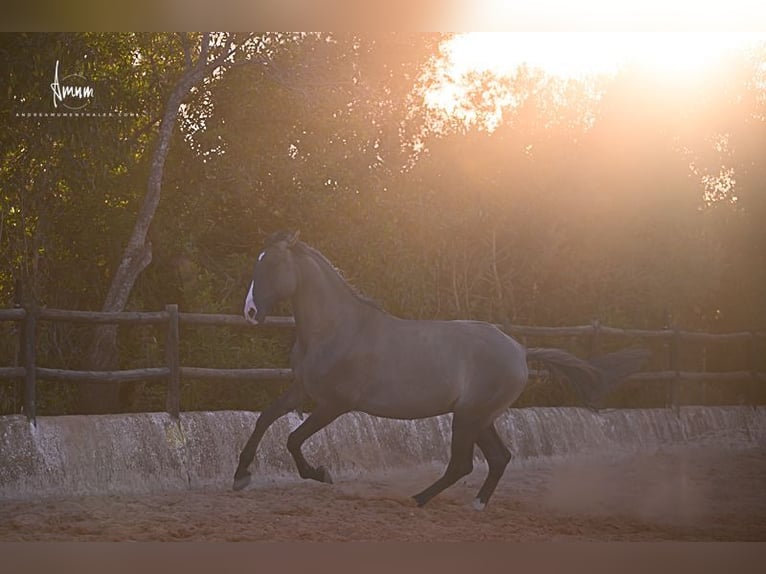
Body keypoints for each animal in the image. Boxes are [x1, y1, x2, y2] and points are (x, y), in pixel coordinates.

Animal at [233, 231, 649, 509]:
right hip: (480, 417)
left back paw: (417, 499)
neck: (336, 329)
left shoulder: (335, 404)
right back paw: (474, 504)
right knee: (498, 458)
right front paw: (240, 476)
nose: (250, 313)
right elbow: (265, 419)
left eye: (273, 263)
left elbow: (293, 439)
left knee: (462, 464)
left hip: (468, 416)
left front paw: (321, 473)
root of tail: (519, 350)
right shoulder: (302, 389)